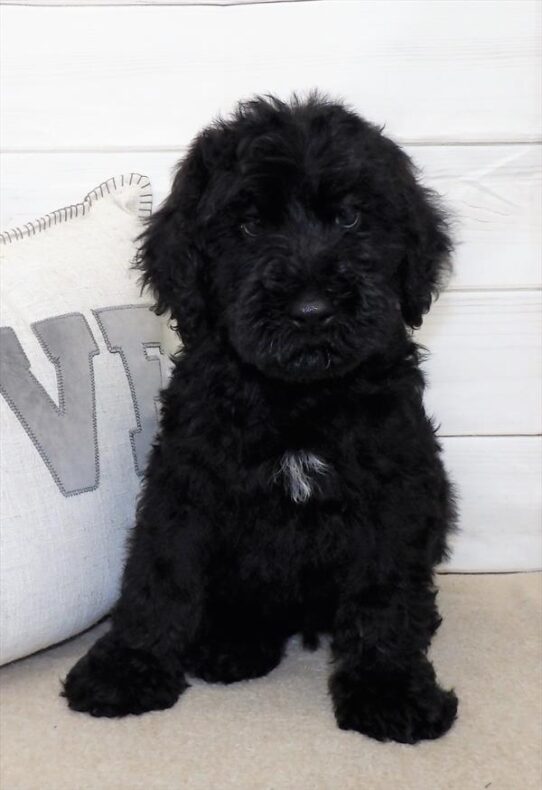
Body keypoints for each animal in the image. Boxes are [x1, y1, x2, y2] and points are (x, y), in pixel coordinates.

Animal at [65, 96, 464, 744]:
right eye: (249, 225)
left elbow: (384, 592)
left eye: (350, 218)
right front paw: (127, 667)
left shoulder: (394, 493)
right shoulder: (186, 484)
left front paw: (389, 689)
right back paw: (231, 644)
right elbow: (159, 572)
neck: (295, 399)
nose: (312, 310)